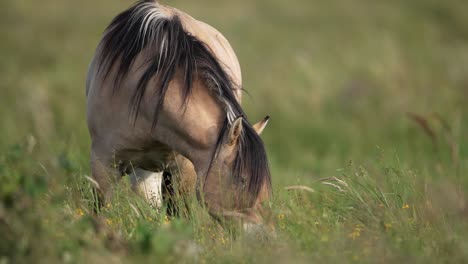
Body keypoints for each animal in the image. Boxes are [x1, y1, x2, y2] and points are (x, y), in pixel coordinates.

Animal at [86, 0, 272, 230]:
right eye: (242, 180)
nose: (264, 235)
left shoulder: (184, 168)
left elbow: (179, 212)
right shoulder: (102, 163)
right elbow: (100, 208)